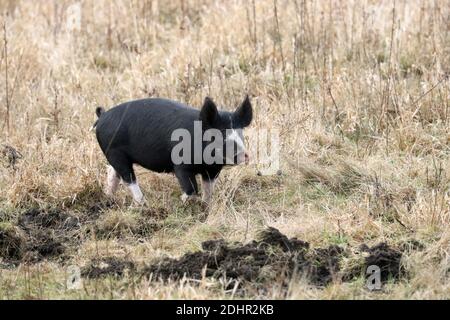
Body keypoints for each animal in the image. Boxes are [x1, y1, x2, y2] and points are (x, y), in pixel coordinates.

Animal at [93, 96, 253, 204]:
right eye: (220, 134)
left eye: (240, 133)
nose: (243, 155)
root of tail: (103, 116)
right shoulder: (181, 165)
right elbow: (191, 188)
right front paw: (182, 201)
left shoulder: (213, 170)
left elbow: (208, 189)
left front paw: (205, 205)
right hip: (114, 152)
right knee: (128, 178)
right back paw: (143, 204)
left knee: (114, 173)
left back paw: (109, 197)